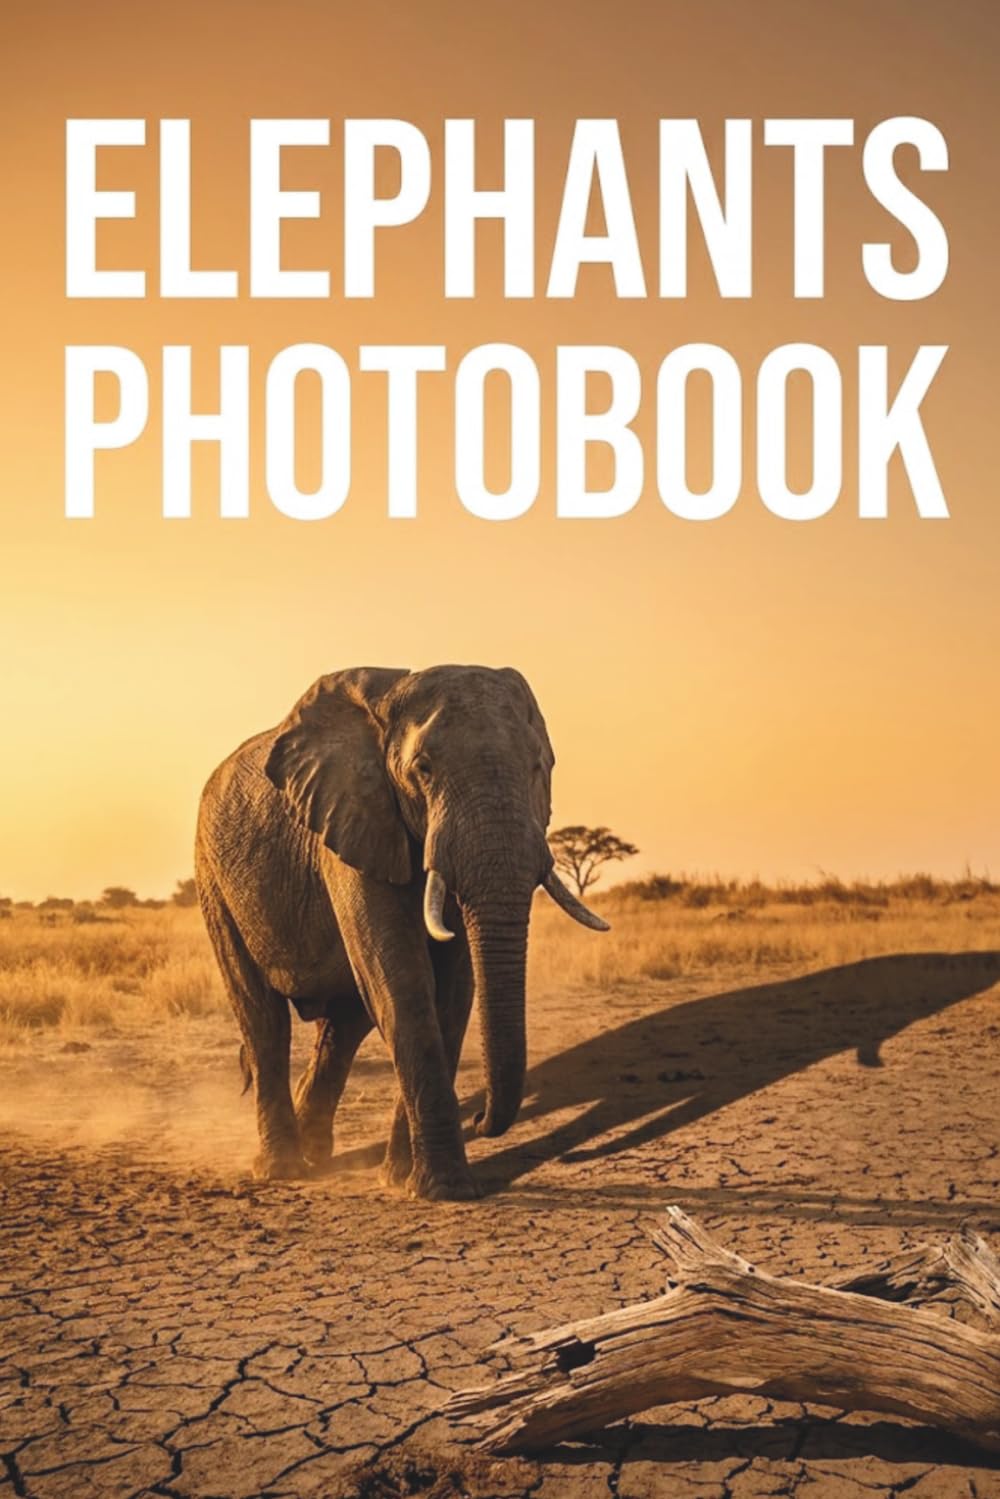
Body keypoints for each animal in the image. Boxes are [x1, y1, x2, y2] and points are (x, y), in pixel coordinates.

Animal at [195, 664, 608, 1199]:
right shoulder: (352, 817)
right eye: (424, 770)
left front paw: (403, 1181)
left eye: (540, 767)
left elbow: (451, 992)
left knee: (344, 1025)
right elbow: (402, 984)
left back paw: (317, 1155)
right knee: (263, 1017)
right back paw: (282, 1170)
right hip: (213, 877)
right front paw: (443, 1190)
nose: (480, 1119)